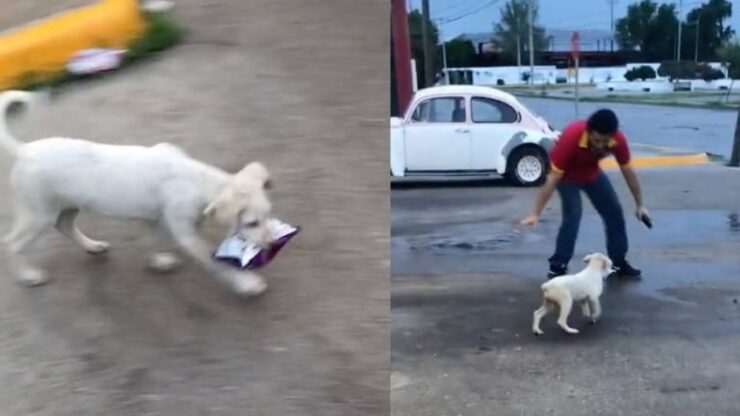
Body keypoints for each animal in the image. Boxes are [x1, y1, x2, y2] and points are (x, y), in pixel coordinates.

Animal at [0, 90, 274, 296]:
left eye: (268, 215)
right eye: (251, 223)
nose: (271, 245)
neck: (195, 179)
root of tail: (24, 150)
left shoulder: (160, 218)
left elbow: (157, 238)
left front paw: (159, 260)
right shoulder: (186, 233)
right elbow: (216, 261)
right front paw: (247, 284)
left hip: (66, 206)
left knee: (65, 226)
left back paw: (92, 246)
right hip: (37, 215)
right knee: (12, 243)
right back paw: (28, 275)